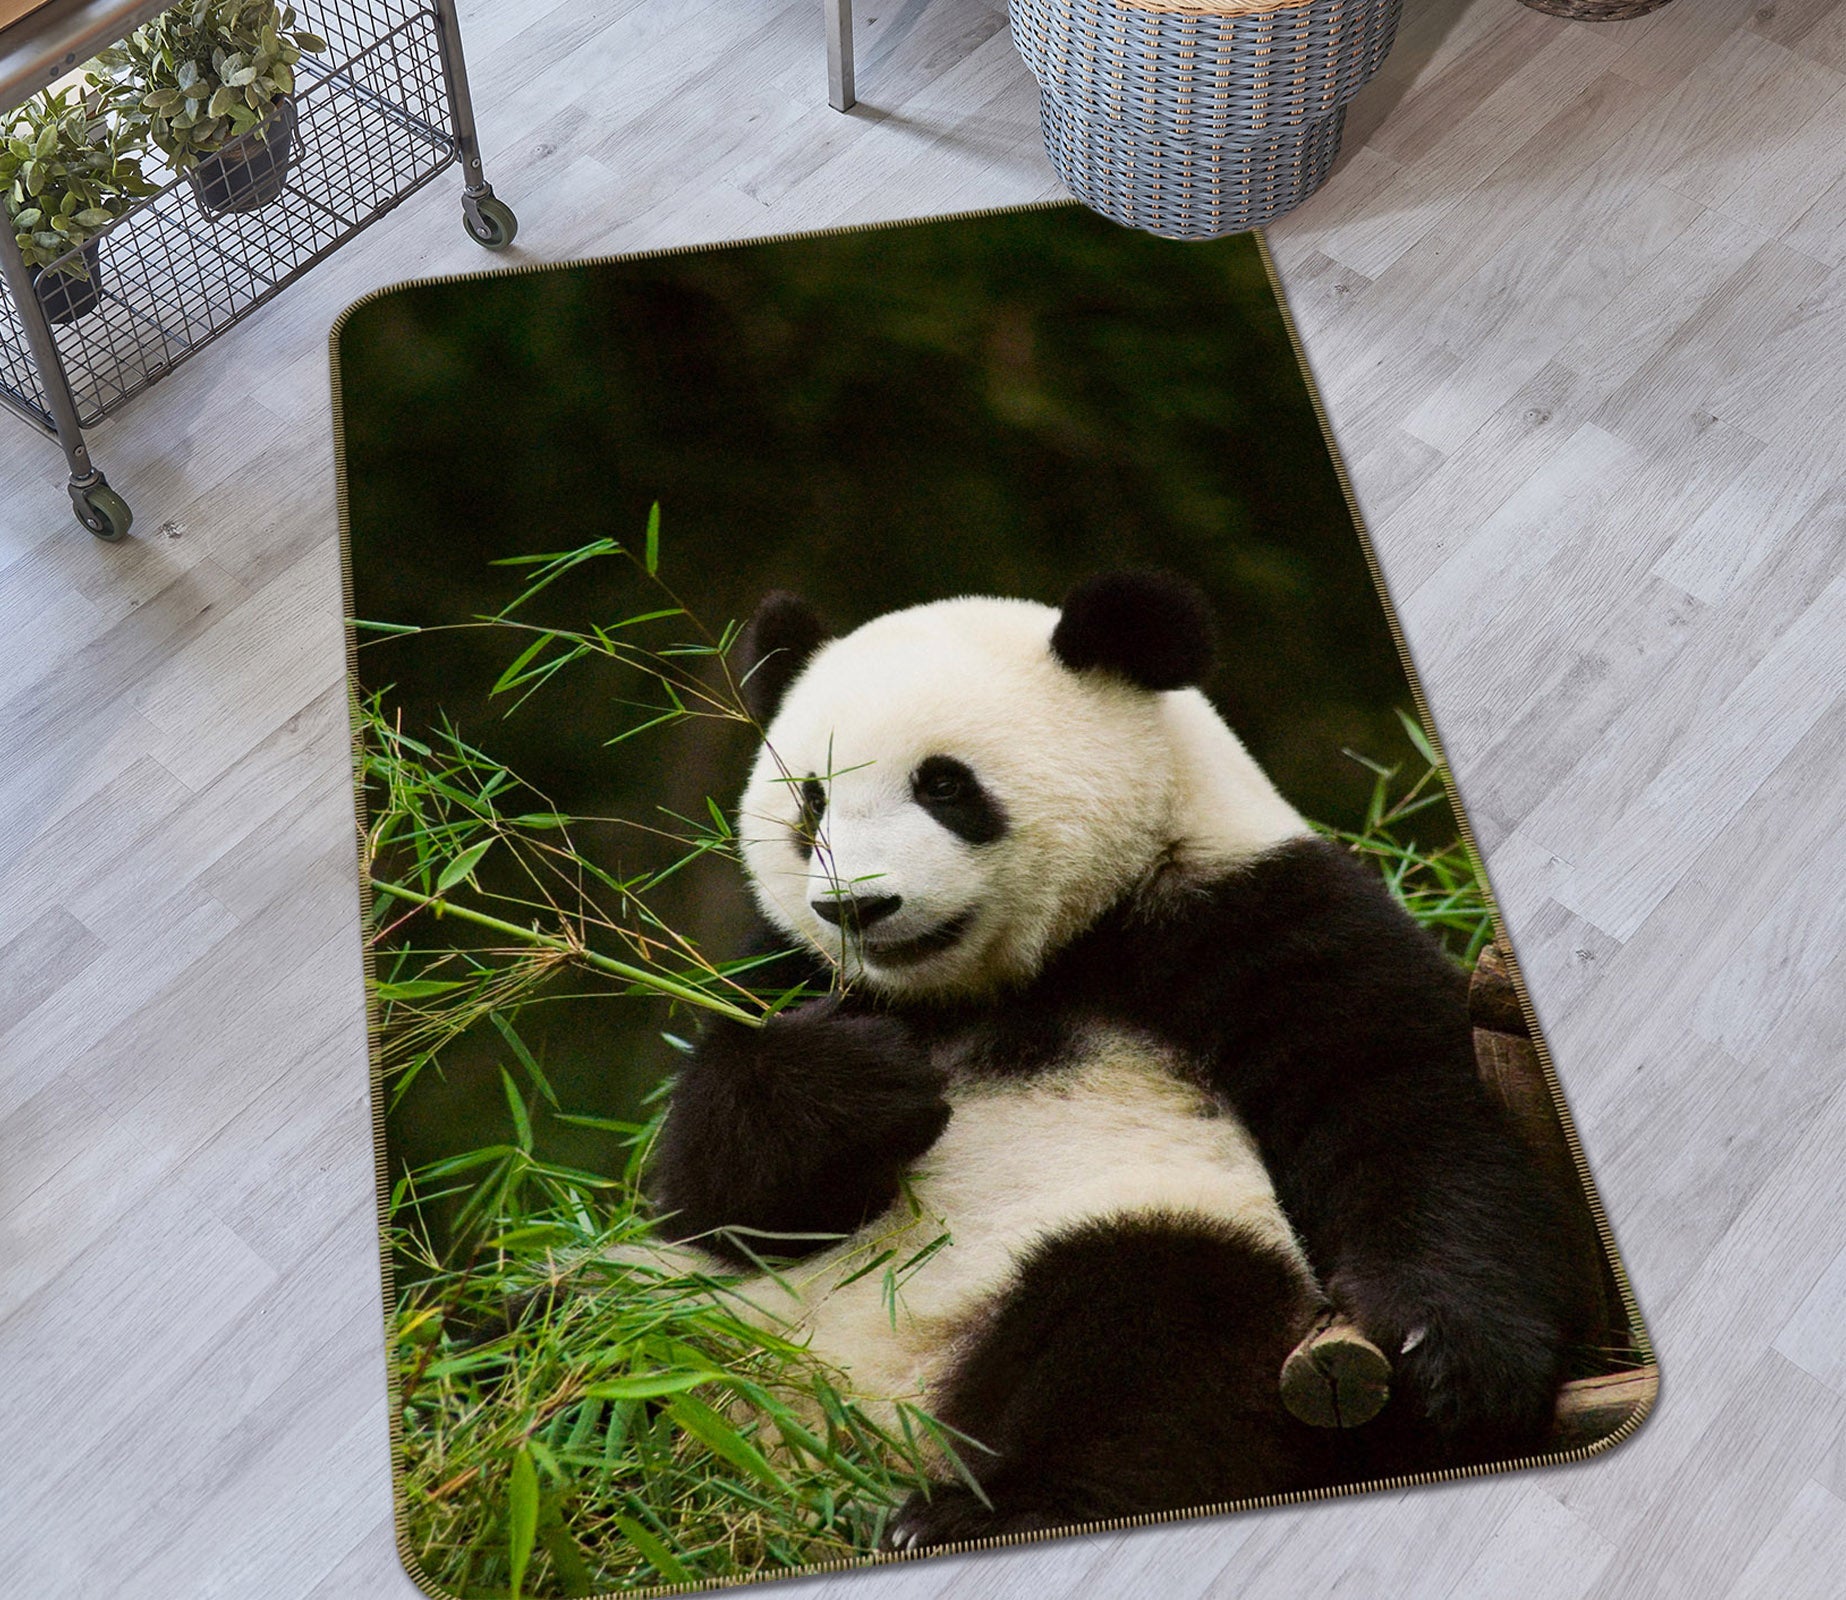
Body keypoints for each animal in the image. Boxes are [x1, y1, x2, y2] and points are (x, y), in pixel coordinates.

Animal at [651, 570, 1590, 1548]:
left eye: (944, 785)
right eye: (812, 803)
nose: (857, 908)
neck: (1000, 982)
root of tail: (829, 1448)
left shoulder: (1248, 912)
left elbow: (1400, 1100)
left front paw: (1449, 1358)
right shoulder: (781, 969)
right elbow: (713, 1200)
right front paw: (859, 1080)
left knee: (1149, 1329)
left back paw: (985, 1510)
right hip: (700, 1324)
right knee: (608, 1347)